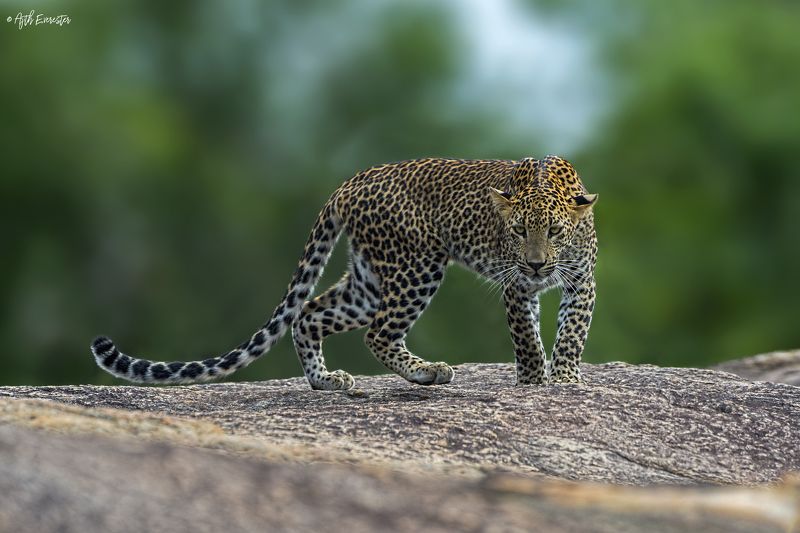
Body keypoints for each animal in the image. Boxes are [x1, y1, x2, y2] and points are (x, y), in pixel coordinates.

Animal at [91, 155, 597, 390]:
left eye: (553, 231)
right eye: (516, 231)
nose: (536, 263)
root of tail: (349, 183)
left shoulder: (582, 282)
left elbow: (572, 332)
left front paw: (564, 377)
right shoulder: (516, 285)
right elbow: (526, 337)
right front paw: (535, 380)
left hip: (369, 280)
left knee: (308, 314)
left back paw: (325, 381)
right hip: (415, 266)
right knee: (376, 333)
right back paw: (426, 372)